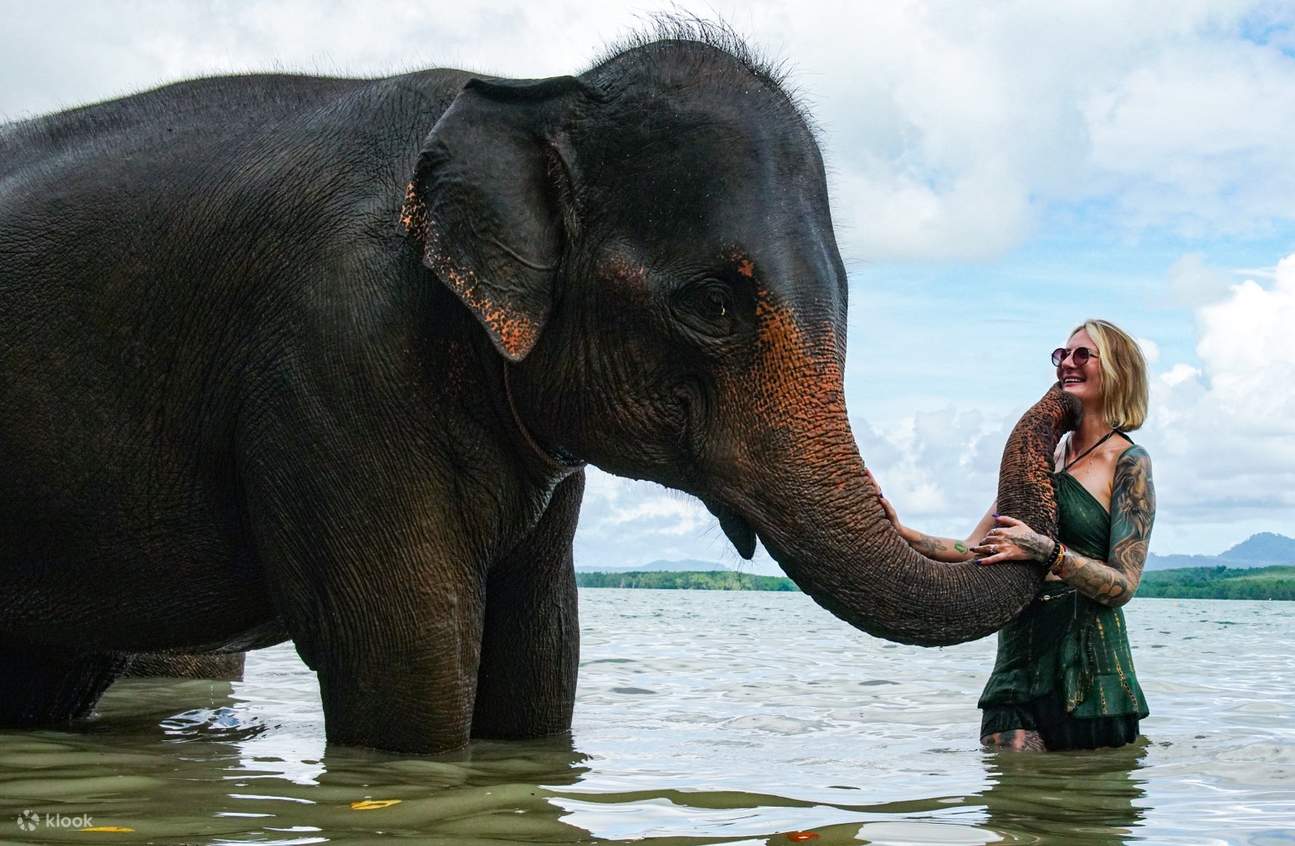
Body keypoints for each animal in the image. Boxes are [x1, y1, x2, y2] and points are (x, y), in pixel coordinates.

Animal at [0, 23, 1077, 753]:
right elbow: (409, 658)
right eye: (711, 307)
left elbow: (537, 658)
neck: (536, 94)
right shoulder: (331, 352)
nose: (1066, 376)